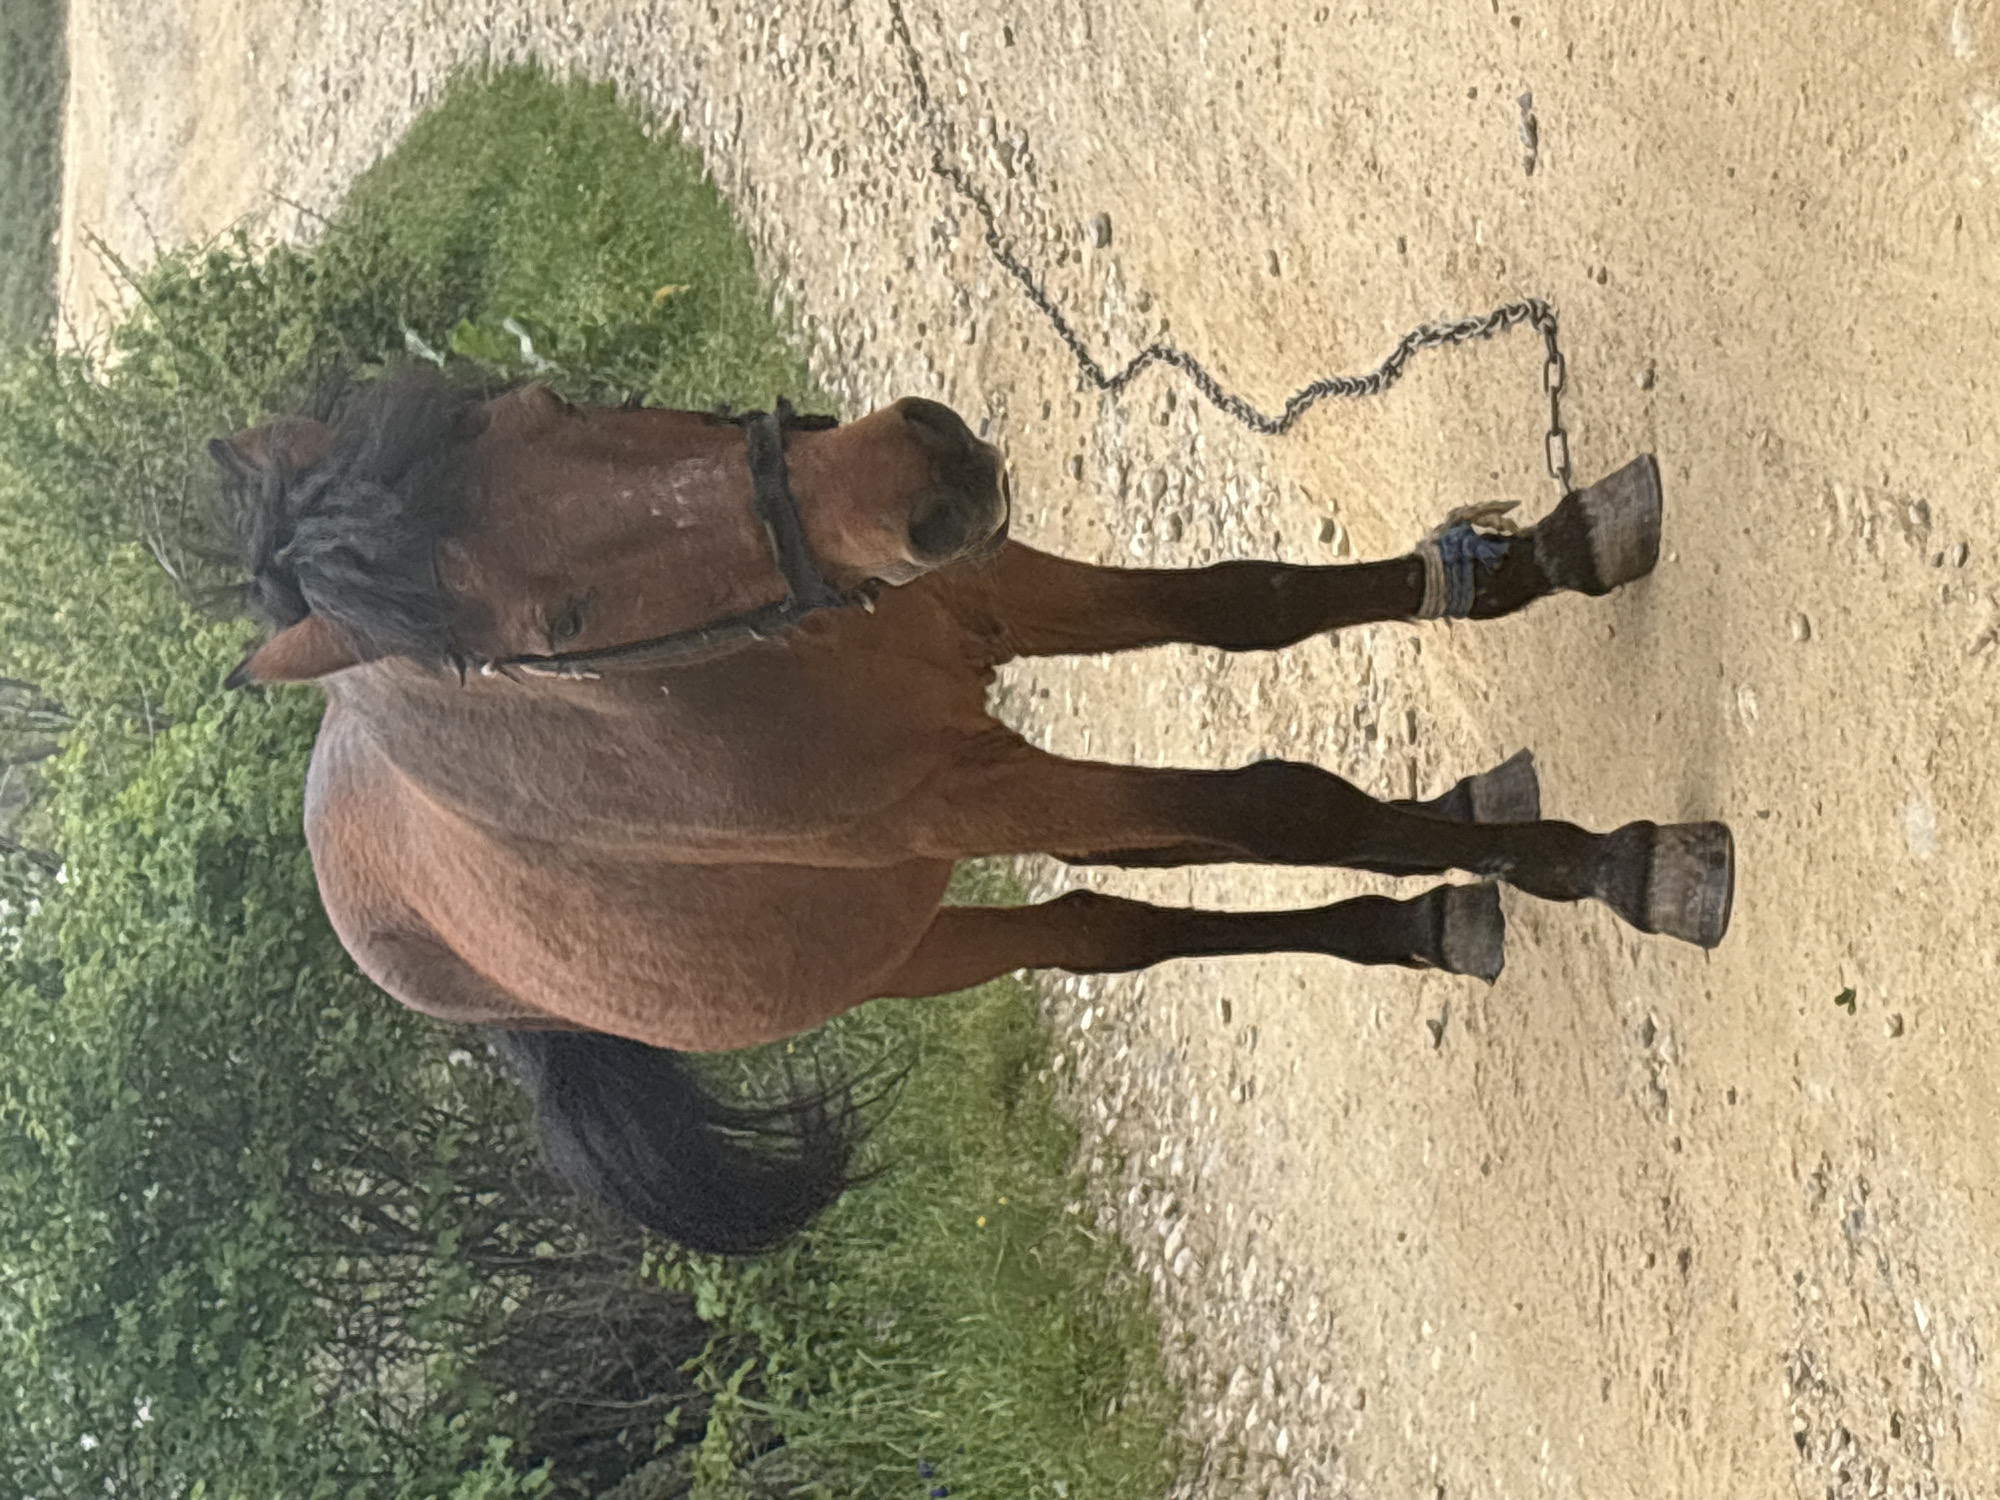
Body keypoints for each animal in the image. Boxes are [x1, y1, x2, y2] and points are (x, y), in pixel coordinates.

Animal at [213, 367, 1733, 1254]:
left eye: (544, 410)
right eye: (560, 621)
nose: (914, 475)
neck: (734, 671)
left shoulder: (996, 590)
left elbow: (1253, 602)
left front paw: (1534, 557)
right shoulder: (975, 785)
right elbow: (1286, 808)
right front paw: (1607, 862)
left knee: (1133, 880)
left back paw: (1431, 902)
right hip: (918, 942)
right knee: (1105, 928)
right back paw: (1431, 915)